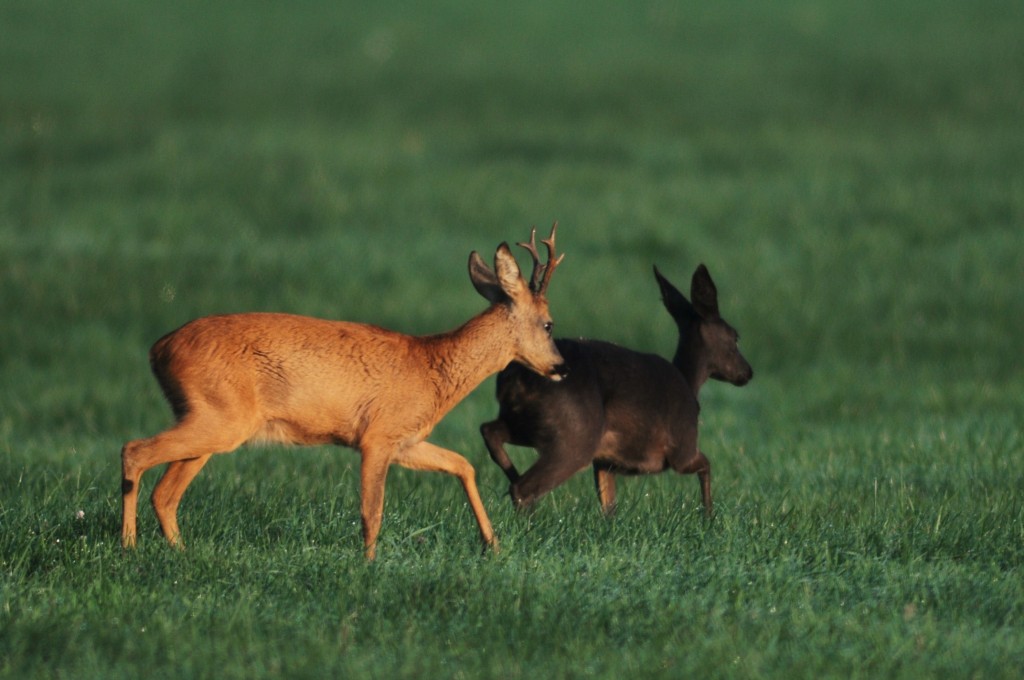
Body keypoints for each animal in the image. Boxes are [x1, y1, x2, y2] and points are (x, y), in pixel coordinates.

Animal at [122, 225, 569, 561]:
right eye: (548, 324)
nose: (561, 367)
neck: (432, 368)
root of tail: (158, 349)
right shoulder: (376, 436)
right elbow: (372, 511)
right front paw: (369, 564)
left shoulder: (405, 441)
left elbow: (463, 465)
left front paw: (492, 545)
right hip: (219, 417)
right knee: (134, 451)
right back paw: (129, 546)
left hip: (211, 421)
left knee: (164, 493)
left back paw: (178, 551)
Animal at [479, 264, 753, 516]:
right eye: (735, 337)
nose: (747, 372)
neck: (688, 382)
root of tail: (513, 378)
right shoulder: (682, 448)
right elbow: (707, 464)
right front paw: (708, 516)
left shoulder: (605, 462)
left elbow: (609, 506)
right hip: (574, 436)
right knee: (524, 488)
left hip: (528, 423)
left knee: (490, 431)